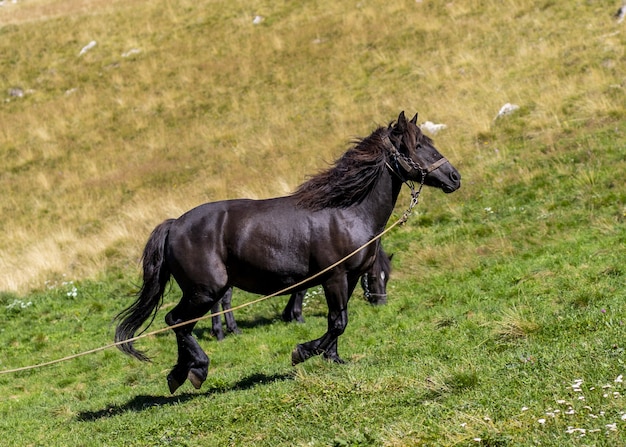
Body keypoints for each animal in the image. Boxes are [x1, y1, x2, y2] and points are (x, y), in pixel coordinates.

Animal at [210, 245, 392, 340]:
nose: (382, 302)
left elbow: (297, 290)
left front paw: (288, 315)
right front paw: (297, 316)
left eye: (387, 278)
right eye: (374, 277)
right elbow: (301, 291)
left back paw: (231, 329)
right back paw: (221, 332)